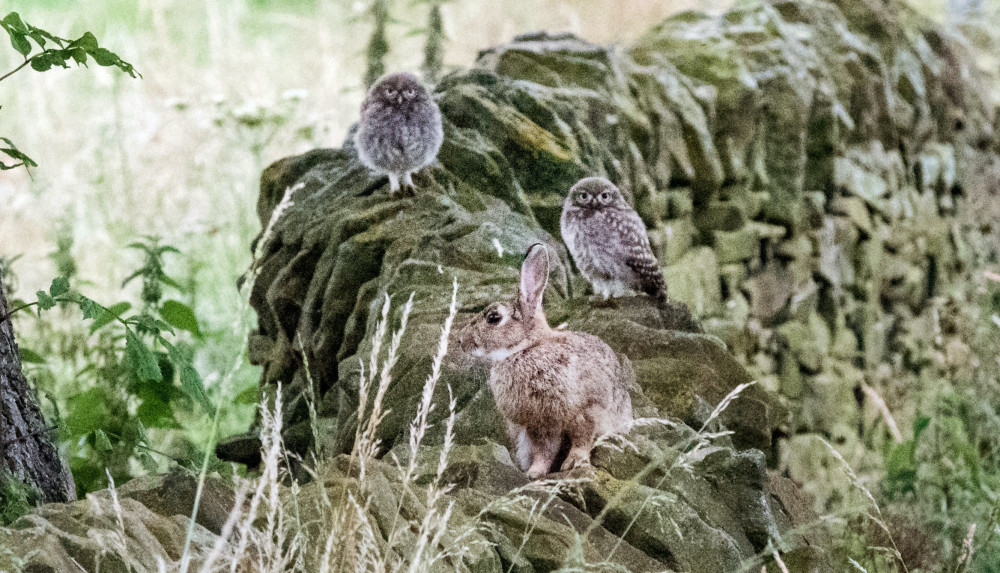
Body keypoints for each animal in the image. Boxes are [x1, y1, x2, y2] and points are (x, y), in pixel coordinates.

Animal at [458, 244, 632, 476]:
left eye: (494, 318)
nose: (461, 341)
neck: (527, 348)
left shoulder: (586, 410)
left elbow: (582, 439)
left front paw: (574, 462)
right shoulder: (539, 426)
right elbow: (544, 451)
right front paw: (535, 473)